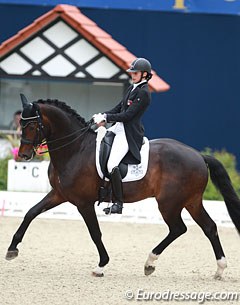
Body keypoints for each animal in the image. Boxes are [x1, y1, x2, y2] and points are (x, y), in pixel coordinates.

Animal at [5, 95, 240, 278]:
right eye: (21, 125)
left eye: (32, 125)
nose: (23, 155)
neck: (75, 149)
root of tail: (199, 155)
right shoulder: (59, 194)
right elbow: (31, 213)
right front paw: (12, 249)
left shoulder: (83, 203)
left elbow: (95, 233)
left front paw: (101, 266)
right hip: (191, 201)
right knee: (209, 227)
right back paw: (219, 269)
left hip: (169, 203)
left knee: (178, 228)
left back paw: (150, 263)